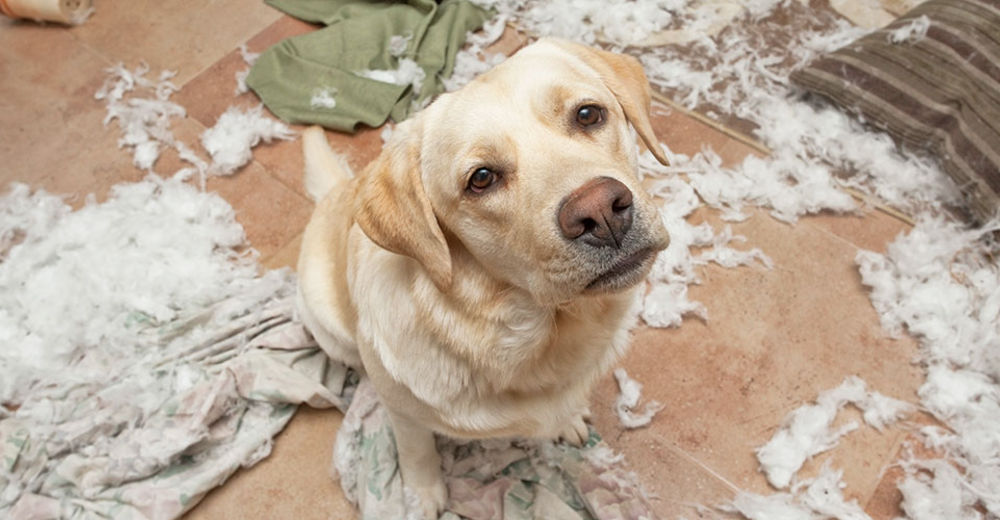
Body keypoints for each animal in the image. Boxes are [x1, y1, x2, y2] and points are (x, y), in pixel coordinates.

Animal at [298, 37, 672, 520]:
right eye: (481, 179)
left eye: (588, 114)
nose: (601, 212)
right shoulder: (404, 415)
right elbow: (416, 450)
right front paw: (422, 495)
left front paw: (568, 418)